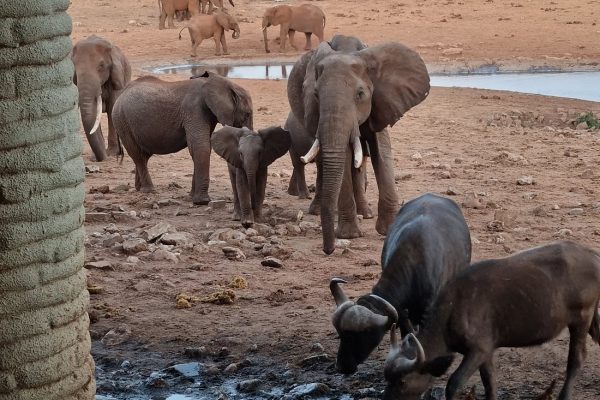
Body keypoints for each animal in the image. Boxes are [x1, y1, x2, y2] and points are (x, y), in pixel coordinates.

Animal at [71, 34, 131, 162]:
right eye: (74, 67)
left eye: (101, 66)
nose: (101, 158)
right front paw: (96, 156)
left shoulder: (116, 79)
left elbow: (112, 108)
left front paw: (112, 153)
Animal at [112, 70, 253, 205]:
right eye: (247, 114)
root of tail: (120, 95)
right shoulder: (194, 109)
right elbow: (200, 147)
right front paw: (202, 201)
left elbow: (200, 147)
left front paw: (191, 197)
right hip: (122, 120)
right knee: (138, 155)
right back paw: (149, 191)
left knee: (144, 155)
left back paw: (139, 189)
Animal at [288, 34, 432, 253]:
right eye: (315, 95)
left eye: (360, 94)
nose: (328, 250)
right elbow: (346, 158)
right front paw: (349, 236)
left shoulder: (383, 102)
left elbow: (381, 151)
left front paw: (388, 229)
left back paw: (366, 213)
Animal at [330, 194, 472, 376]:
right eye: (341, 334)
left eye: (362, 335)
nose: (342, 366)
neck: (415, 260)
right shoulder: (402, 312)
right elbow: (408, 333)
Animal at [384, 241, 600, 400]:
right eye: (387, 379)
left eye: (402, 382)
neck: (455, 308)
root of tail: (592, 255)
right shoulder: (486, 351)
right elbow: (489, 381)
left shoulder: (478, 349)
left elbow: (454, 383)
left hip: (582, 318)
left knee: (576, 359)